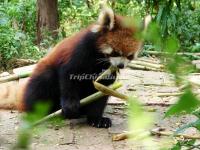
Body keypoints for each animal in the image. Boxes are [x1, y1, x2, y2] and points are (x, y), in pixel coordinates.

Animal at [0, 5, 150, 127]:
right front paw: (70, 106)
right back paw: (44, 111)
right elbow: (69, 75)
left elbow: (101, 90)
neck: (99, 58)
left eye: (130, 56)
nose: (121, 65)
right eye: (115, 52)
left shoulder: (105, 72)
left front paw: (97, 119)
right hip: (40, 80)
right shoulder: (80, 51)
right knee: (45, 80)